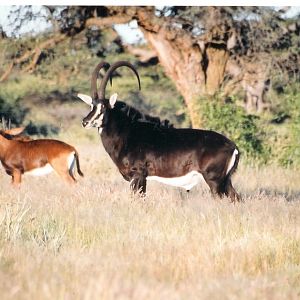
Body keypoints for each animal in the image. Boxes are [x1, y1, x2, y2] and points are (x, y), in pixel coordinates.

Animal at [78, 60, 241, 202]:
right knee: (236, 198)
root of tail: (233, 146)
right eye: (91, 105)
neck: (127, 133)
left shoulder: (138, 175)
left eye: (103, 107)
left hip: (214, 181)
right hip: (225, 181)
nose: (85, 122)